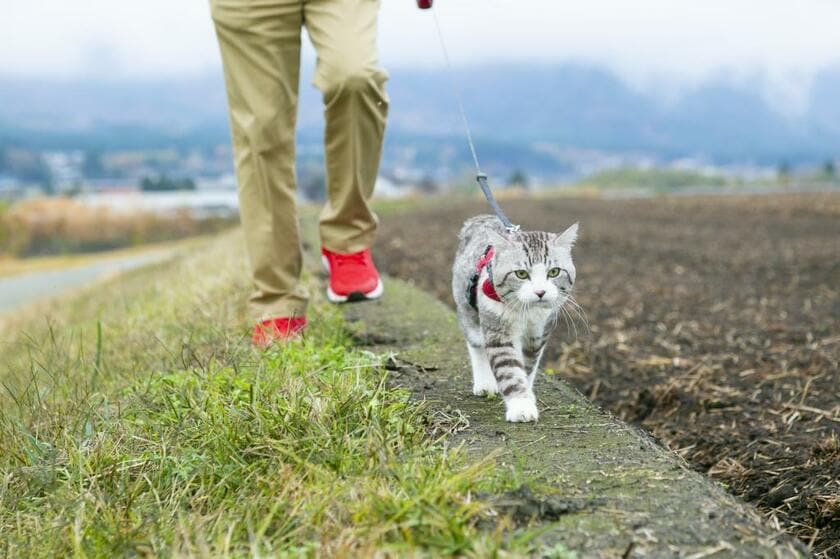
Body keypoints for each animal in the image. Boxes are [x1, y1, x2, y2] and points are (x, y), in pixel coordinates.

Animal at [452, 215, 576, 424]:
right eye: (521, 274)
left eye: (554, 272)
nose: (540, 292)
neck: (527, 311)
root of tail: (480, 218)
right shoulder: (497, 328)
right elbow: (509, 367)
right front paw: (521, 406)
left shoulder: (539, 332)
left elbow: (528, 365)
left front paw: (527, 394)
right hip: (466, 307)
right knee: (476, 343)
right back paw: (485, 382)